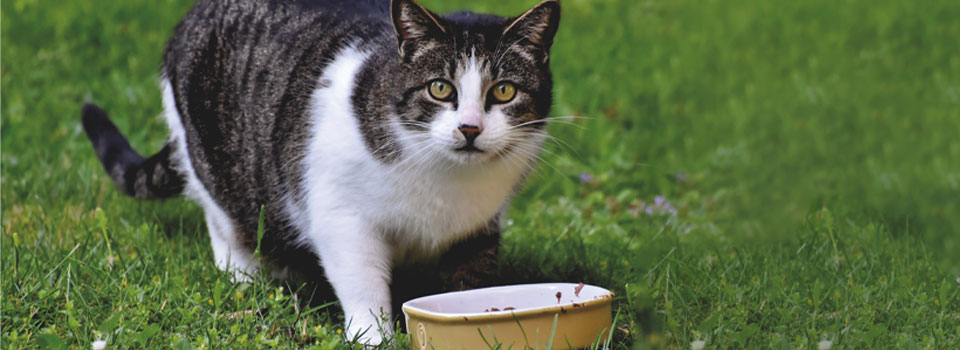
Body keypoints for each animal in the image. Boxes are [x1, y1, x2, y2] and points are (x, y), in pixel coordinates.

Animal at [83, 0, 564, 344]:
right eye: (440, 88)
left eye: (504, 91)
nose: (470, 128)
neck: (446, 182)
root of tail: (192, 14)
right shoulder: (341, 215)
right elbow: (362, 281)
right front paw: (373, 336)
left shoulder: (479, 227)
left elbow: (467, 286)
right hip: (212, 160)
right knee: (224, 220)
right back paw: (246, 276)